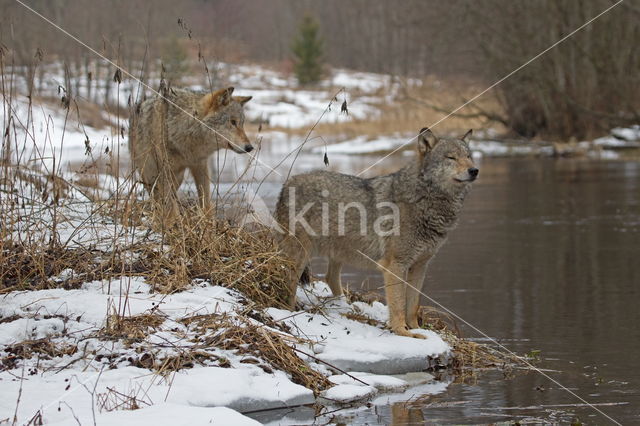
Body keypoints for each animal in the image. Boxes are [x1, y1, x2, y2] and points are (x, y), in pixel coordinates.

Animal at [129, 86, 254, 215]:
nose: (250, 147)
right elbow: (170, 205)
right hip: (150, 175)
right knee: (157, 196)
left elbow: (206, 200)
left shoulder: (200, 165)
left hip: (178, 178)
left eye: (242, 123)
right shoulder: (165, 170)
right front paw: (174, 219)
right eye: (233, 122)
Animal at [272, 128, 478, 338]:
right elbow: (398, 305)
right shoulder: (395, 265)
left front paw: (417, 330)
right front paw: (403, 332)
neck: (426, 201)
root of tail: (288, 182)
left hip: (337, 252)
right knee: (289, 280)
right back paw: (289, 310)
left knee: (330, 277)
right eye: (451, 157)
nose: (474, 170)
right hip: (301, 255)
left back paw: (345, 307)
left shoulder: (420, 266)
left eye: (469, 157)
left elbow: (412, 305)